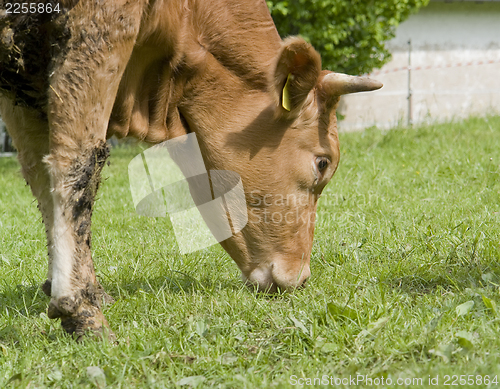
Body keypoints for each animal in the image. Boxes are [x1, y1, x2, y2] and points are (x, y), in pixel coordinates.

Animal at [0, 0, 378, 338]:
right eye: (323, 163)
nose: (300, 276)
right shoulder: (98, 26)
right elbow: (77, 165)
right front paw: (79, 307)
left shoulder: (23, 85)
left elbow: (41, 179)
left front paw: (82, 289)